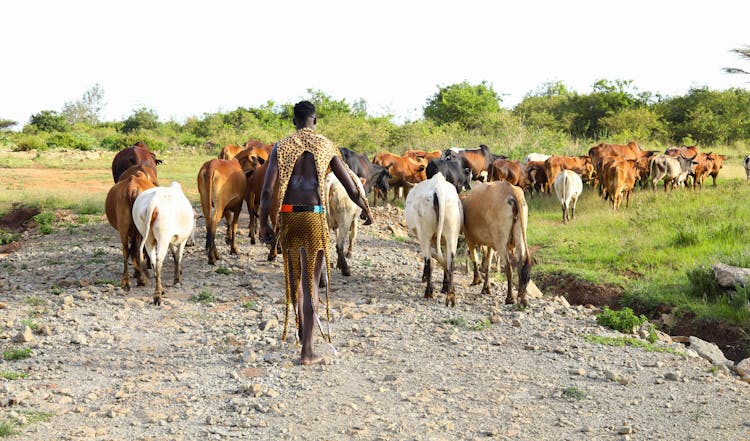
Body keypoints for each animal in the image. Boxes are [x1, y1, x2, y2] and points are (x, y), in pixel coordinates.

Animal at [406, 172, 464, 306]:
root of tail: (439, 188)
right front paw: (445, 286)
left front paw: (424, 277)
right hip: (452, 235)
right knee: (450, 262)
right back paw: (450, 295)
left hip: (425, 234)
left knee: (430, 261)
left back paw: (429, 292)